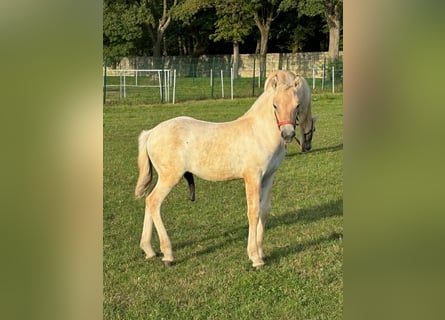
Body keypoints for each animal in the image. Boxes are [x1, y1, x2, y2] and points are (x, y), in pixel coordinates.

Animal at [134, 74, 302, 268]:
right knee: (154, 202)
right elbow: (253, 212)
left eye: (297, 105)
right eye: (275, 105)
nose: (288, 134)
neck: (259, 133)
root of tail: (151, 133)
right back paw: (168, 255)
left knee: (148, 201)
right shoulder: (252, 177)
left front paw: (261, 252)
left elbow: (264, 210)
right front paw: (255, 257)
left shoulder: (268, 176)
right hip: (170, 177)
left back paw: (149, 250)